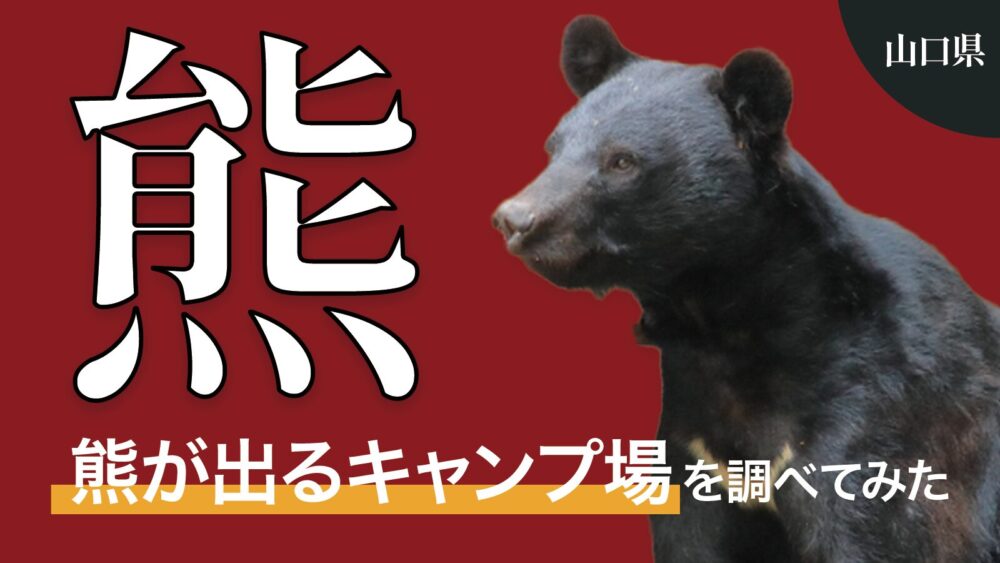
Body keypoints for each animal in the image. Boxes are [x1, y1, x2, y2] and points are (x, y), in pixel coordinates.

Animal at [492, 15, 1000, 563]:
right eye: (553, 148)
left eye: (622, 161)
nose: (515, 220)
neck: (728, 326)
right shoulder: (694, 443)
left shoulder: (883, 414)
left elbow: (881, 529)